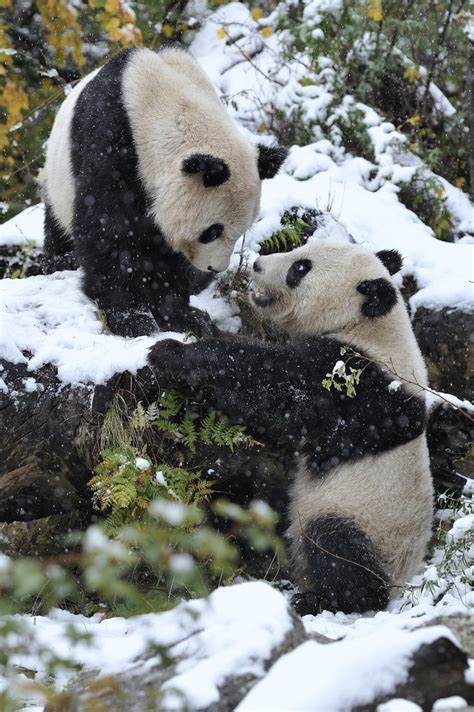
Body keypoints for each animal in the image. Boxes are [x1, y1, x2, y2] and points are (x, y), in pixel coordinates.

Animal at [43, 46, 286, 338]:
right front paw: (132, 318)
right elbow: (107, 232)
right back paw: (60, 260)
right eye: (212, 231)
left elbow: (163, 256)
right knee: (57, 225)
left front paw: (183, 316)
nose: (215, 267)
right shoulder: (110, 146)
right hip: (58, 181)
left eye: (240, 232)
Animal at [147, 242, 434, 616]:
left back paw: (321, 598)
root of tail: (400, 582)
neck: (368, 327)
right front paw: (197, 322)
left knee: (338, 548)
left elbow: (275, 388)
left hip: (370, 522)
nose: (256, 264)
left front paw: (174, 353)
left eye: (300, 267)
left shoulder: (354, 387)